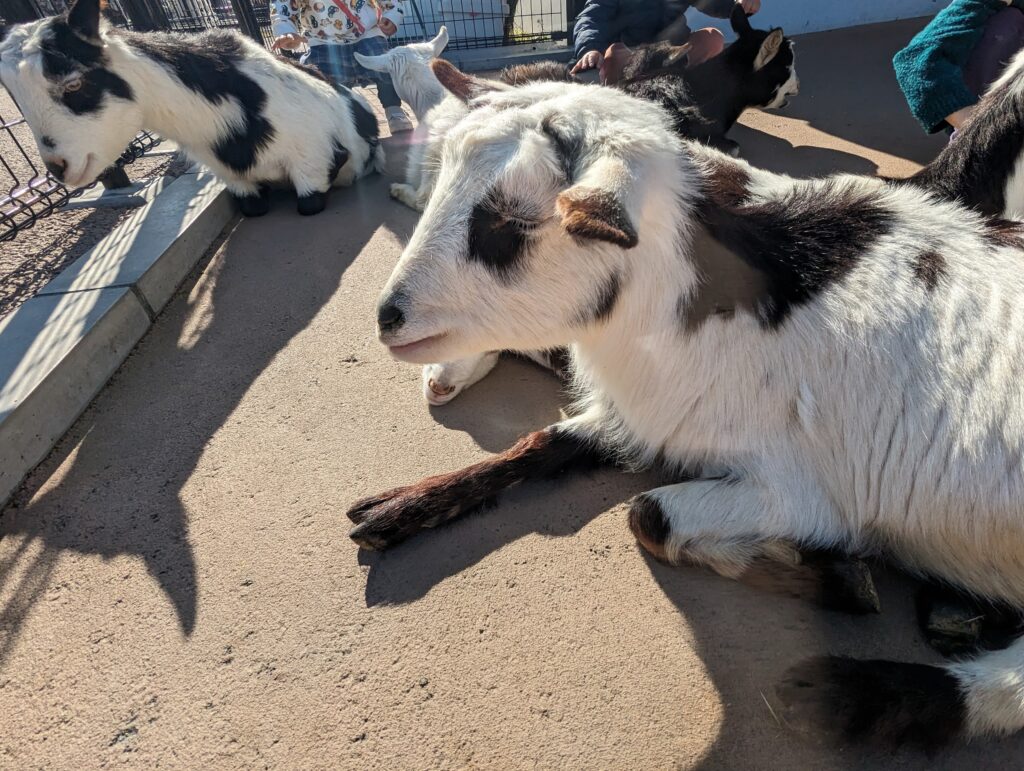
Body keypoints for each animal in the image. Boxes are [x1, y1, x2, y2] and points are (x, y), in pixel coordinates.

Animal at [0, 0, 385, 215]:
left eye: (74, 83)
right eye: (13, 94)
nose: (59, 168)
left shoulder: (314, 159)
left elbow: (309, 204)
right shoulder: (235, 179)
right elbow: (253, 208)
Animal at [350, 64, 1024, 745]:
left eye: (510, 222)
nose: (387, 318)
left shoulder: (807, 494)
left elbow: (648, 514)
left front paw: (830, 574)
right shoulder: (647, 412)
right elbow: (542, 440)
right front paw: (397, 508)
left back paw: (842, 693)